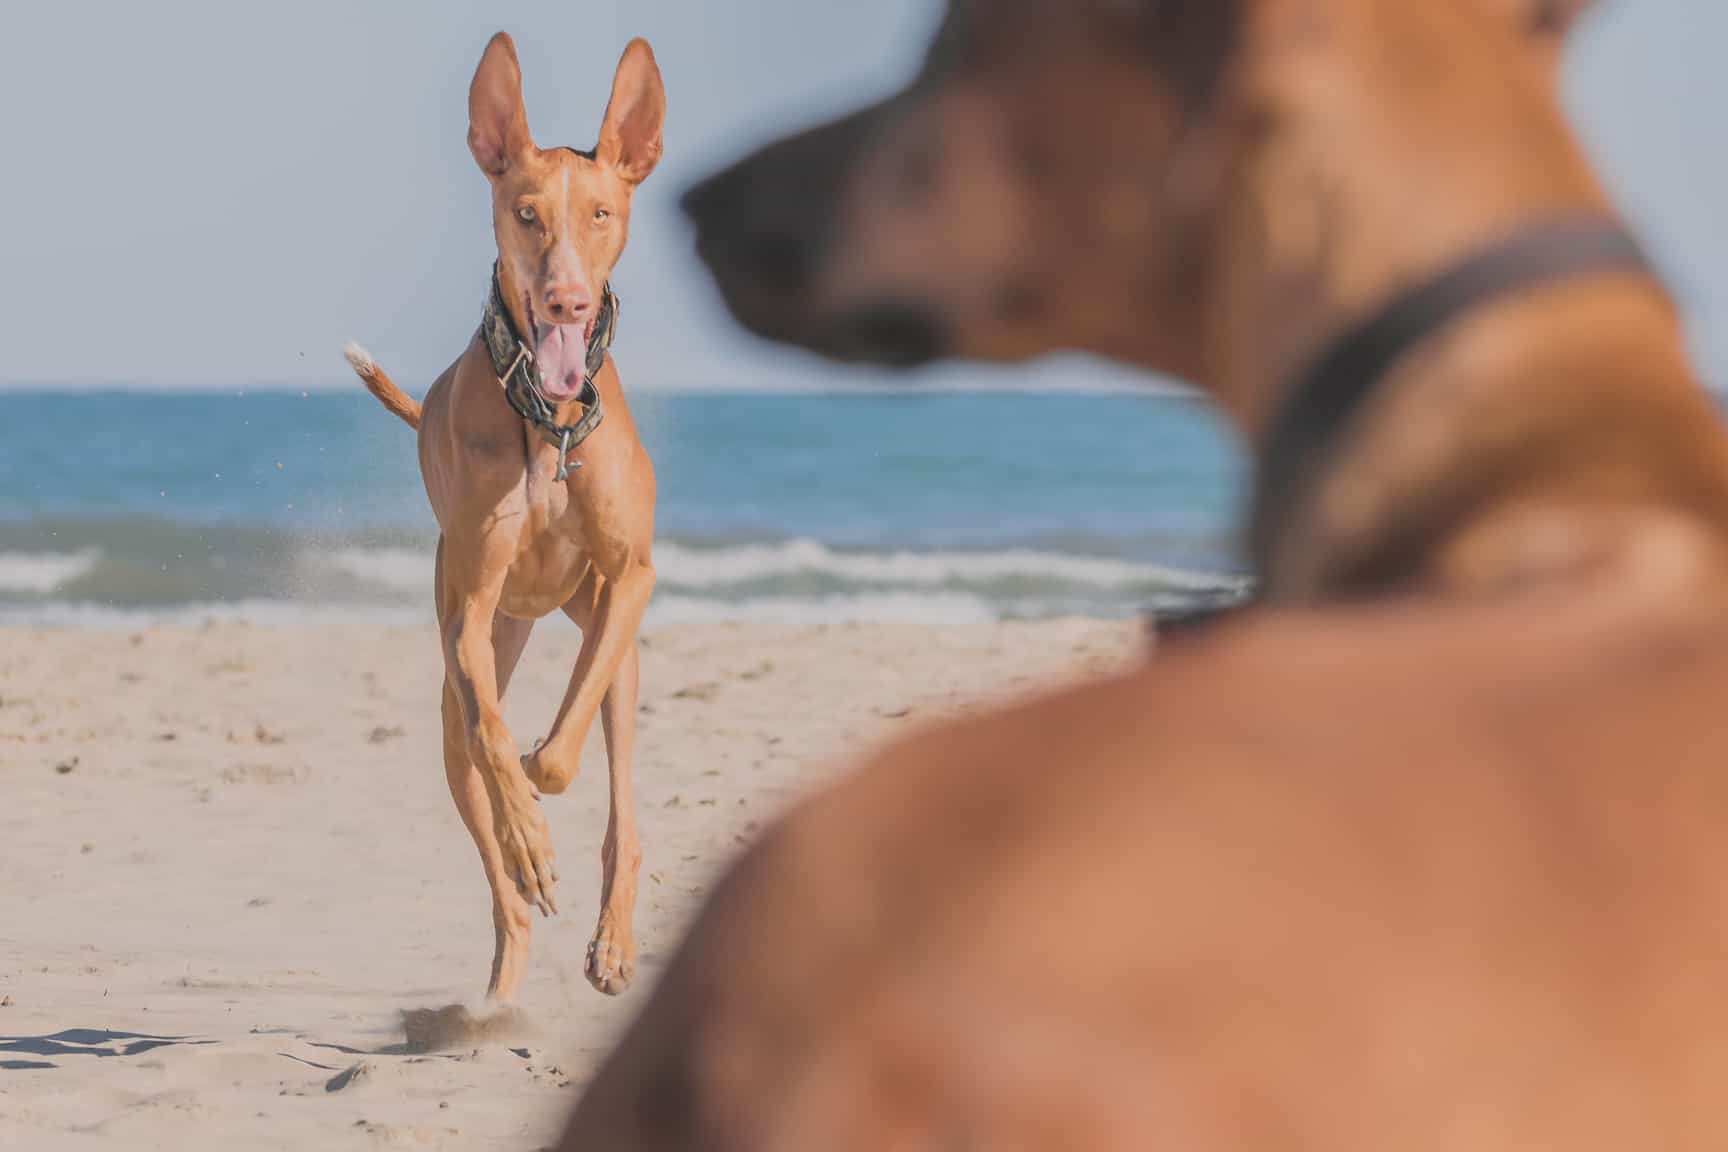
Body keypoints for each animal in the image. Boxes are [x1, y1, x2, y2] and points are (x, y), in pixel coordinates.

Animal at [340, 31, 663, 994]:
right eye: (526, 214)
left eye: (600, 213)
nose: (567, 302)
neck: (548, 424)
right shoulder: (471, 615)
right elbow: (495, 734)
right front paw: (526, 837)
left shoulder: (634, 577)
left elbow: (556, 753)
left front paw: (538, 781)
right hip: (478, 657)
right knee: (496, 861)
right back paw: (503, 966)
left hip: (611, 638)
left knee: (621, 811)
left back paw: (612, 939)